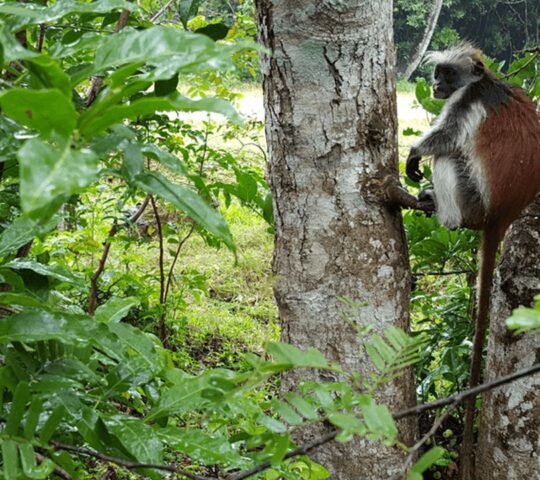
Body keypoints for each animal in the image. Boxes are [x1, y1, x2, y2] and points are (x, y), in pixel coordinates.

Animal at [404, 43, 540, 478]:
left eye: (447, 74)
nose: (435, 85)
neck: (487, 80)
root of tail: (503, 216)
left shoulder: (467, 101)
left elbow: (445, 137)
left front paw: (414, 152)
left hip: (473, 200)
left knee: (448, 157)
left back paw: (441, 210)